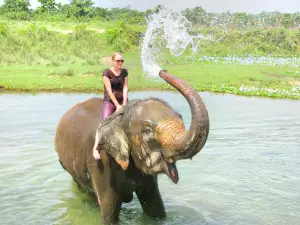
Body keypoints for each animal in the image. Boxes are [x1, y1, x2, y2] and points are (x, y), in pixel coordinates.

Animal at [54, 69, 209, 224]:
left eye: (181, 117)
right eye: (147, 131)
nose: (162, 71)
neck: (120, 117)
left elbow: (154, 206)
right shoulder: (102, 164)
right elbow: (109, 214)